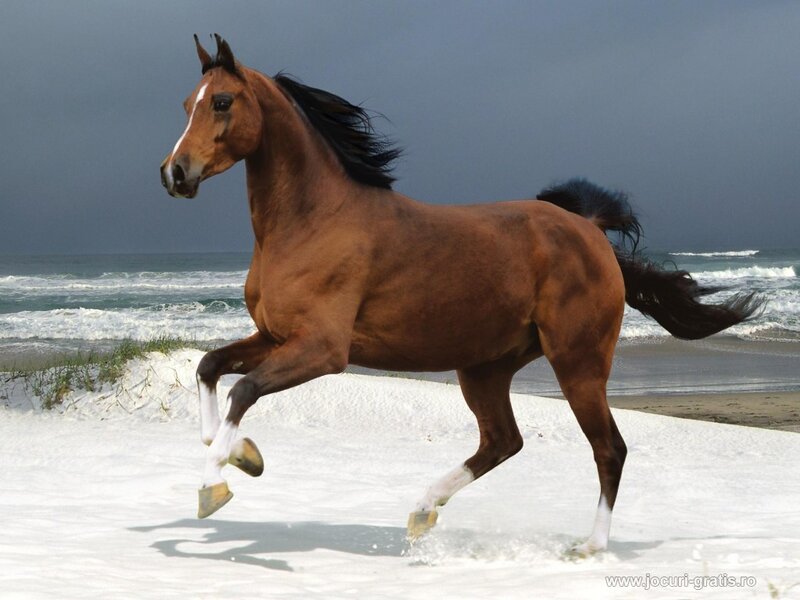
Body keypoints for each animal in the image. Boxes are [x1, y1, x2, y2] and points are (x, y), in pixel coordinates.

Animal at [160, 35, 760, 555]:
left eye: (221, 102)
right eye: (187, 103)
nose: (174, 173)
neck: (312, 220)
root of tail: (588, 230)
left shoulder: (323, 350)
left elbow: (244, 390)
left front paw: (214, 486)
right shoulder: (275, 335)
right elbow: (210, 368)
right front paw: (242, 455)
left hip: (578, 363)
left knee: (608, 449)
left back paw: (589, 547)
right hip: (486, 367)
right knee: (503, 441)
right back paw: (423, 510)